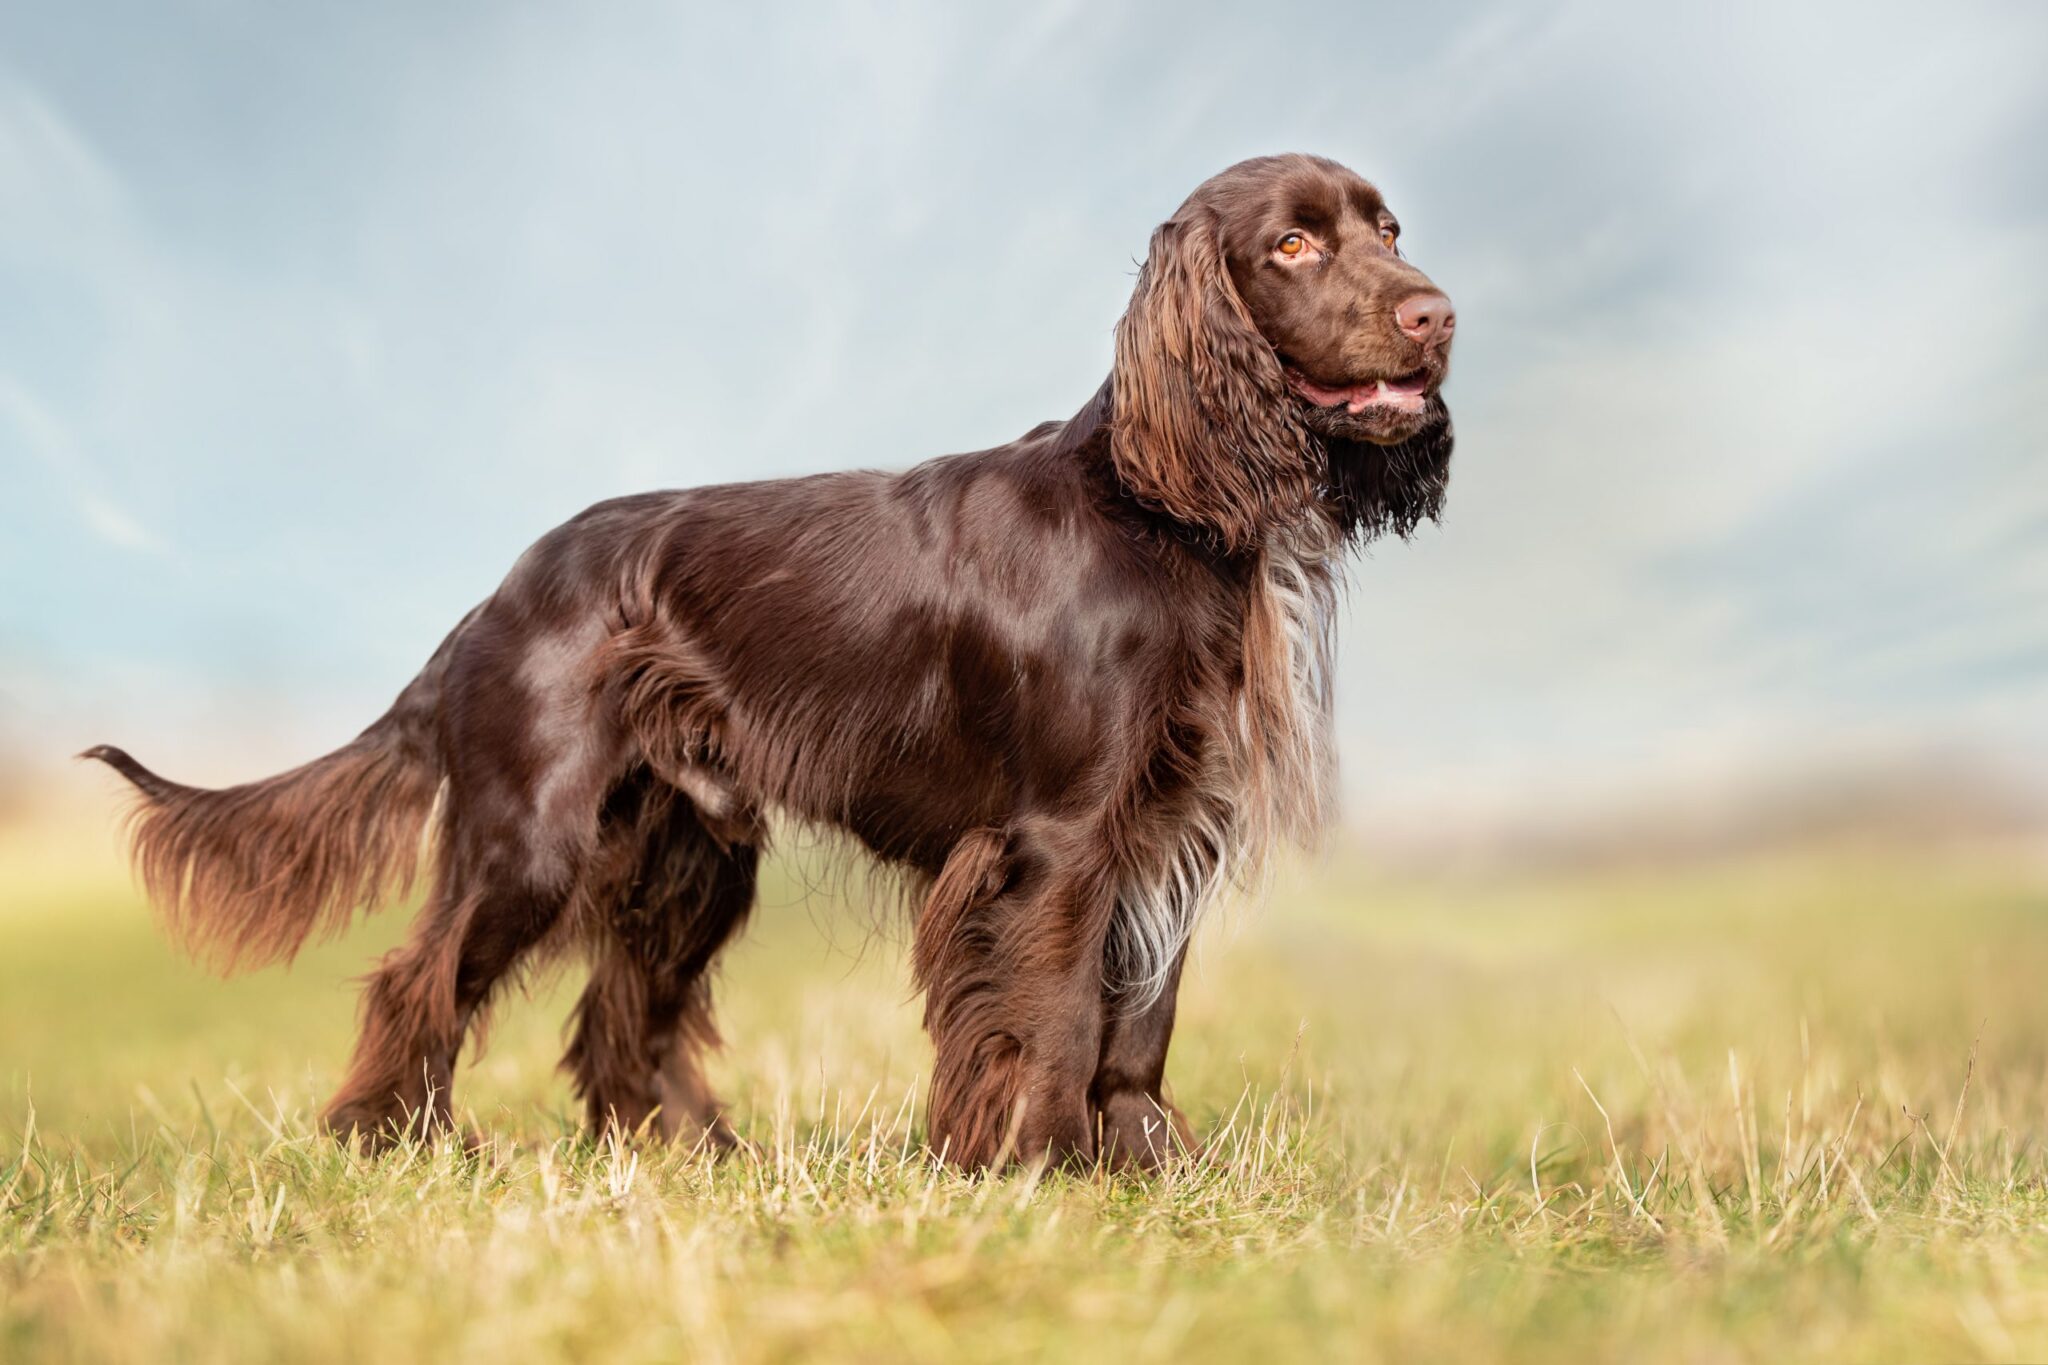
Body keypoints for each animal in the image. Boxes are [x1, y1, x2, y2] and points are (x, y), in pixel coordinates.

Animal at [83, 154, 1458, 1170]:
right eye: (1291, 247)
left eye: (1389, 226)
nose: (1435, 313)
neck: (1163, 504)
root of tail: (497, 595)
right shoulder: (1059, 838)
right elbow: (1059, 1009)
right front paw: (1037, 1166)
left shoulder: (1171, 820)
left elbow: (1141, 1021)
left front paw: (1143, 1168)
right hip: (534, 833)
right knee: (418, 976)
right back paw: (398, 1141)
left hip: (686, 851)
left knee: (619, 1013)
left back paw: (687, 1152)